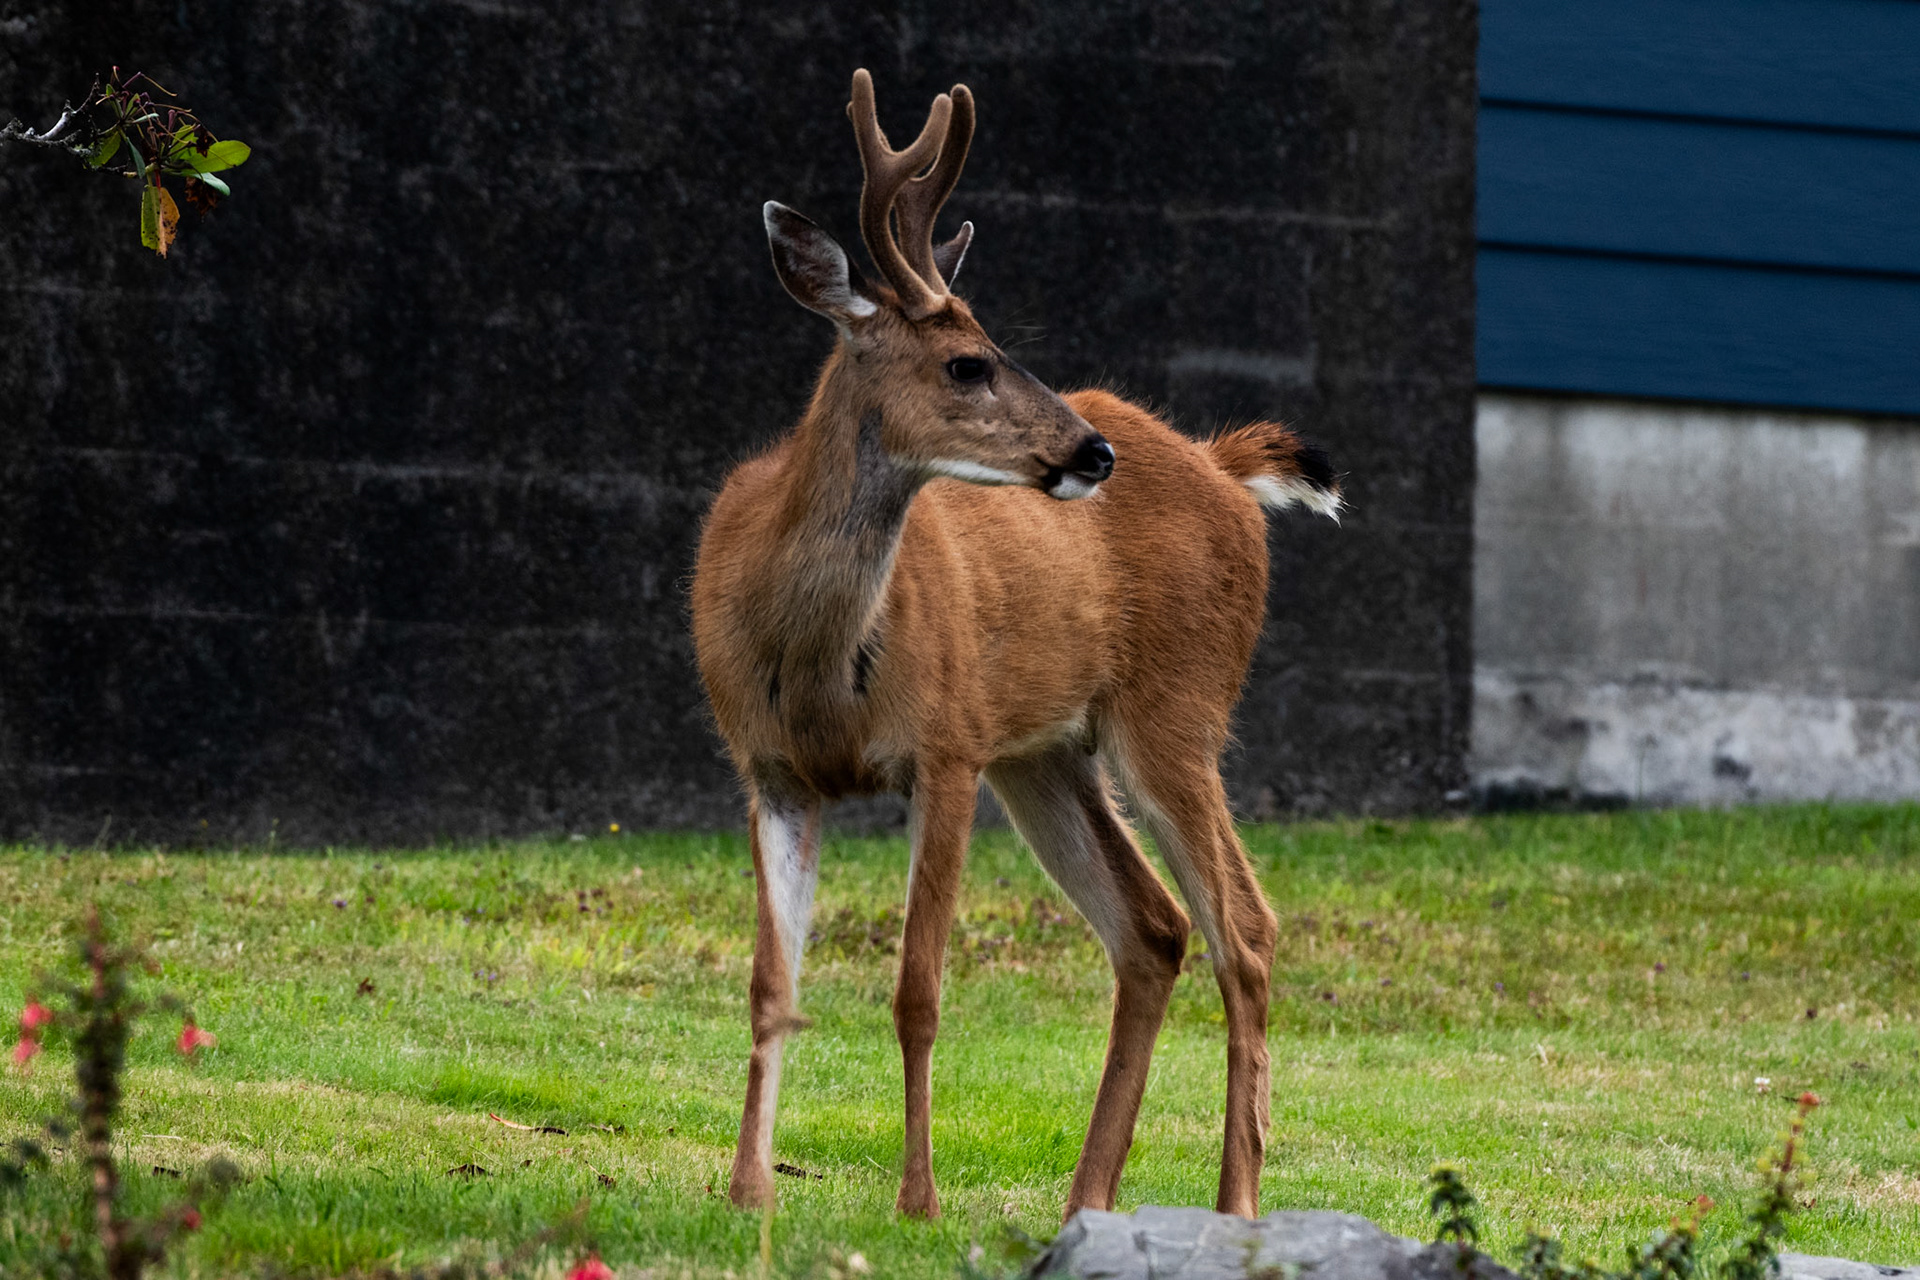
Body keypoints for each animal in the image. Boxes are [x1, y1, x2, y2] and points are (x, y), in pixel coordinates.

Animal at [689, 69, 1342, 1222]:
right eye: (967, 363)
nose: (1091, 452)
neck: (816, 663)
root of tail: (1225, 468)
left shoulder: (946, 743)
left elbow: (917, 987)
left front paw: (917, 1199)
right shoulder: (770, 768)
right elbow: (772, 981)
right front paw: (748, 1191)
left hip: (1175, 708)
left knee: (1246, 926)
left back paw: (1234, 1205)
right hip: (1045, 754)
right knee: (1155, 926)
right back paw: (1089, 1198)